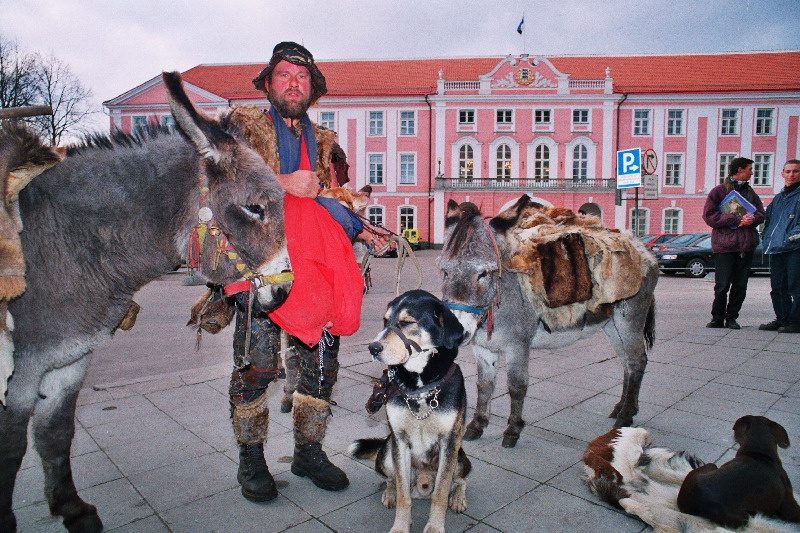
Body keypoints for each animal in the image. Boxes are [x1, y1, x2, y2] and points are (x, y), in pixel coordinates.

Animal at [348, 288, 472, 532]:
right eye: (385, 321)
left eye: (406, 322)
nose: (372, 348)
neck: (419, 387)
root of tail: (422, 486)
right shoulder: (400, 440)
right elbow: (403, 494)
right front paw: (400, 526)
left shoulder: (449, 442)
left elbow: (441, 493)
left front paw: (435, 527)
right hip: (387, 452)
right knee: (392, 480)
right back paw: (389, 493)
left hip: (460, 456)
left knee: (460, 480)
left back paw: (458, 498)